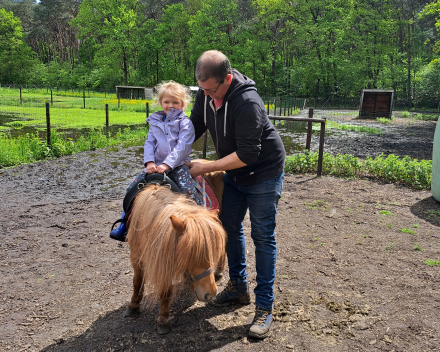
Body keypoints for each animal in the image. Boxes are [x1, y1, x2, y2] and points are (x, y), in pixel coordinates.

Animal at [124, 183, 225, 334]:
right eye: (189, 256)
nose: (211, 294)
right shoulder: (138, 258)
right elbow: (137, 282)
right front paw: (133, 305)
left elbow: (165, 291)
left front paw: (163, 320)